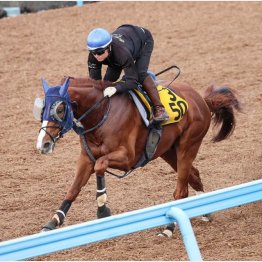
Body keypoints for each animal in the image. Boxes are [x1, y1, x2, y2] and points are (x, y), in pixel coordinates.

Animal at [35, 74, 241, 236]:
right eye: (42, 109)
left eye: (59, 109)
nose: (43, 144)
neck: (102, 114)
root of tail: (203, 100)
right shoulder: (86, 158)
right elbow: (73, 189)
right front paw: (53, 221)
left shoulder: (127, 158)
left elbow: (100, 165)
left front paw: (103, 209)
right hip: (168, 151)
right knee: (194, 175)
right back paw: (204, 209)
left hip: (188, 145)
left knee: (181, 189)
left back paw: (169, 228)